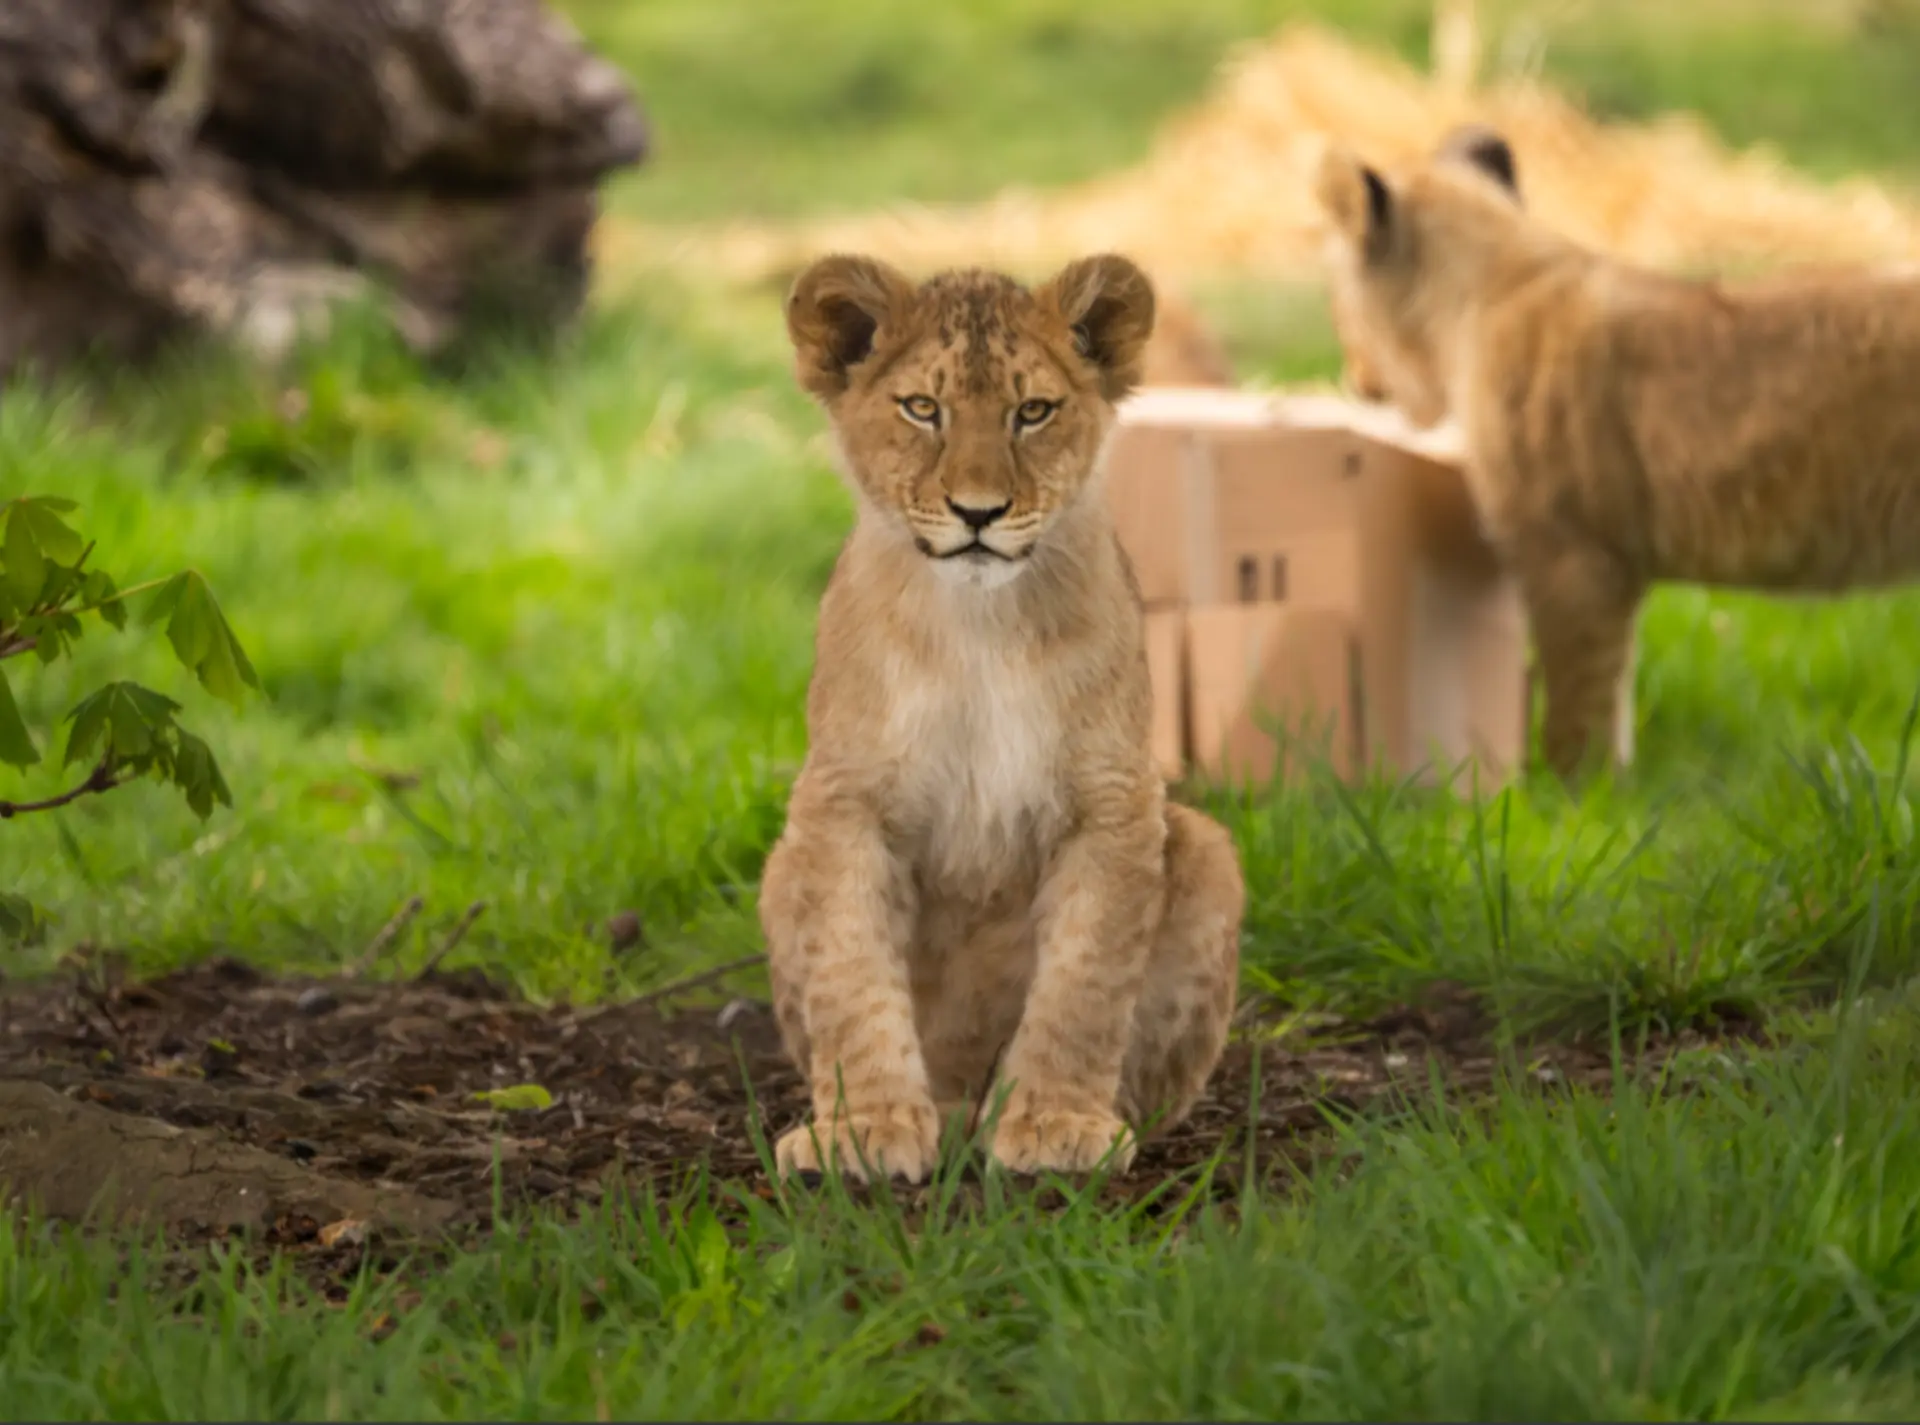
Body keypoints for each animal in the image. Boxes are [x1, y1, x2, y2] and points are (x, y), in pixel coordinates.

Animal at [758, 251, 1246, 1184]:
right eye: (923, 408)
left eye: (1033, 412)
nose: (978, 512)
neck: (978, 625)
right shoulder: (842, 801)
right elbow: (851, 972)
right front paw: (864, 1128)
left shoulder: (1114, 800)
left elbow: (1084, 980)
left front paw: (1055, 1123)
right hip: (779, 865)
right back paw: (944, 1114)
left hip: (1205, 847)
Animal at [1314, 124, 1920, 778]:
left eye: (1336, 304)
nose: (1354, 381)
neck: (1500, 277)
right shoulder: (1614, 568)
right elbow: (1616, 693)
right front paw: (1614, 787)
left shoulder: (1573, 559)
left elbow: (1578, 702)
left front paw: (1564, 793)